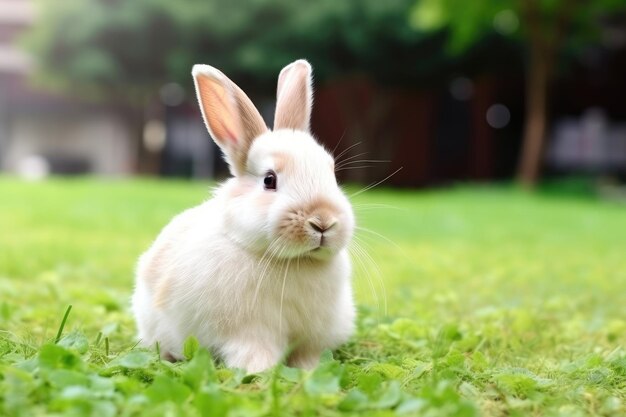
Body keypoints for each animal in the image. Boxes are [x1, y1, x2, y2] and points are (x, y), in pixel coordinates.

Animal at [132, 58, 354, 370]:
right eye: (269, 180)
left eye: (331, 173)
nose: (323, 221)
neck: (293, 262)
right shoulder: (249, 332)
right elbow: (255, 353)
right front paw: (260, 372)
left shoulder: (312, 337)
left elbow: (308, 357)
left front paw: (311, 371)